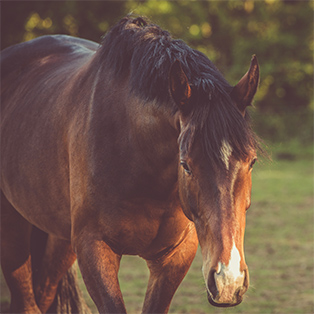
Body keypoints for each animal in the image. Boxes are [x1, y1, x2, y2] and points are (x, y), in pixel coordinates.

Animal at [0, 15, 260, 312]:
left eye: (252, 161)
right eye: (186, 165)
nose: (228, 281)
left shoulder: (174, 256)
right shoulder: (94, 250)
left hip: (61, 241)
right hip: (12, 228)